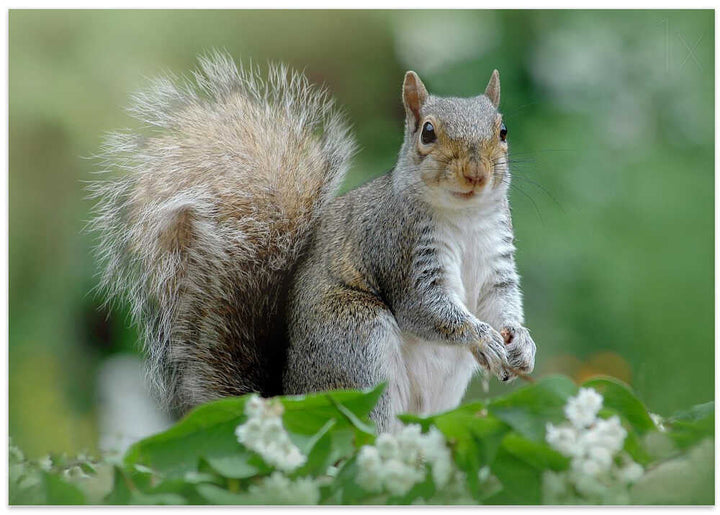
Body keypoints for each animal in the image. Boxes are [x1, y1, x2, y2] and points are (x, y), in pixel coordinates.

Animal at [90, 52, 536, 431]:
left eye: (503, 130)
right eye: (428, 132)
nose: (476, 174)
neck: (464, 218)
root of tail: (290, 399)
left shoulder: (496, 260)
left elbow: (500, 301)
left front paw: (522, 344)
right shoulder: (399, 249)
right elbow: (426, 309)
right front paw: (482, 337)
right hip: (355, 344)